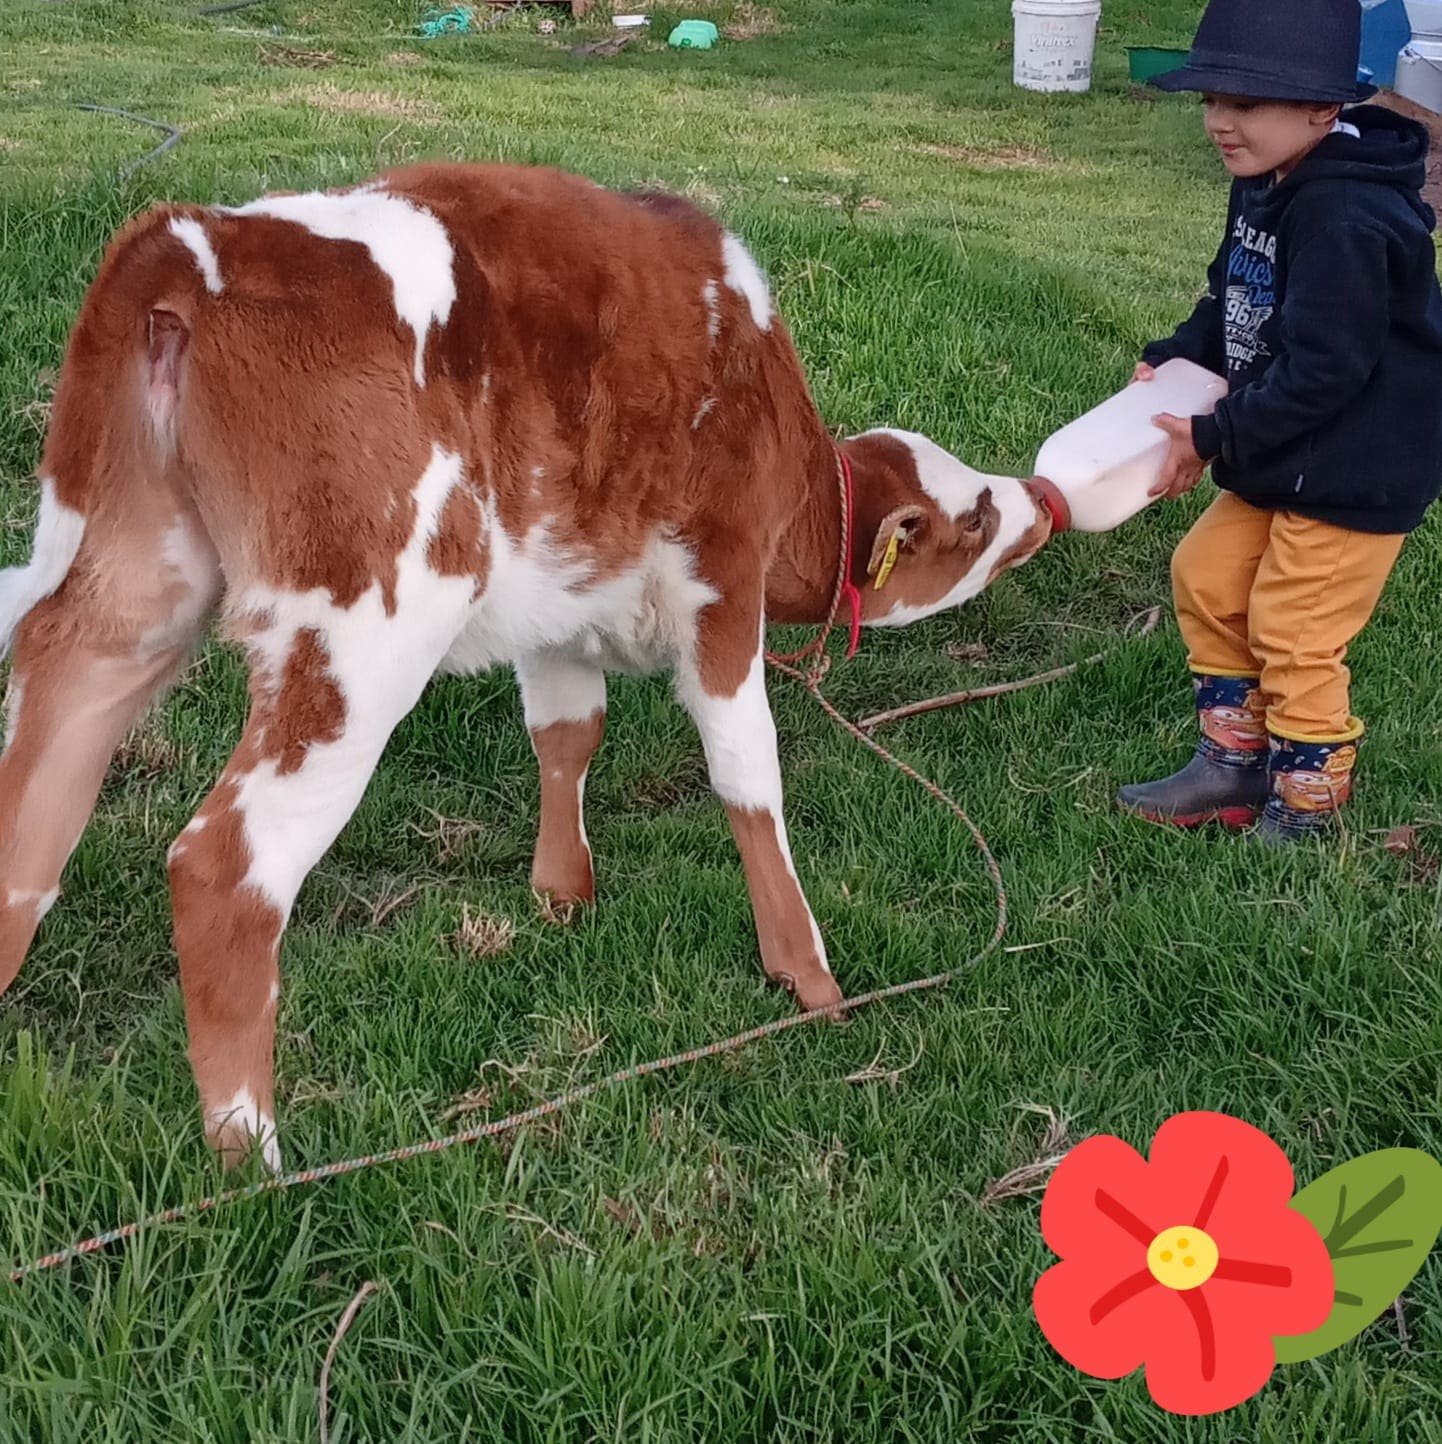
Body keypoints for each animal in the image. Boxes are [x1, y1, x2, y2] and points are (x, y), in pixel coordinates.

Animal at [0, 164, 1053, 1169]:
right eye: (974, 521)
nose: (1040, 500)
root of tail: (195, 236)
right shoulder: (722, 587)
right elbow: (748, 772)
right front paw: (809, 976)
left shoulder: (560, 604)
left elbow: (567, 731)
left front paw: (560, 897)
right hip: (363, 631)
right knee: (224, 868)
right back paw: (252, 1158)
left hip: (131, 588)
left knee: (36, 805)